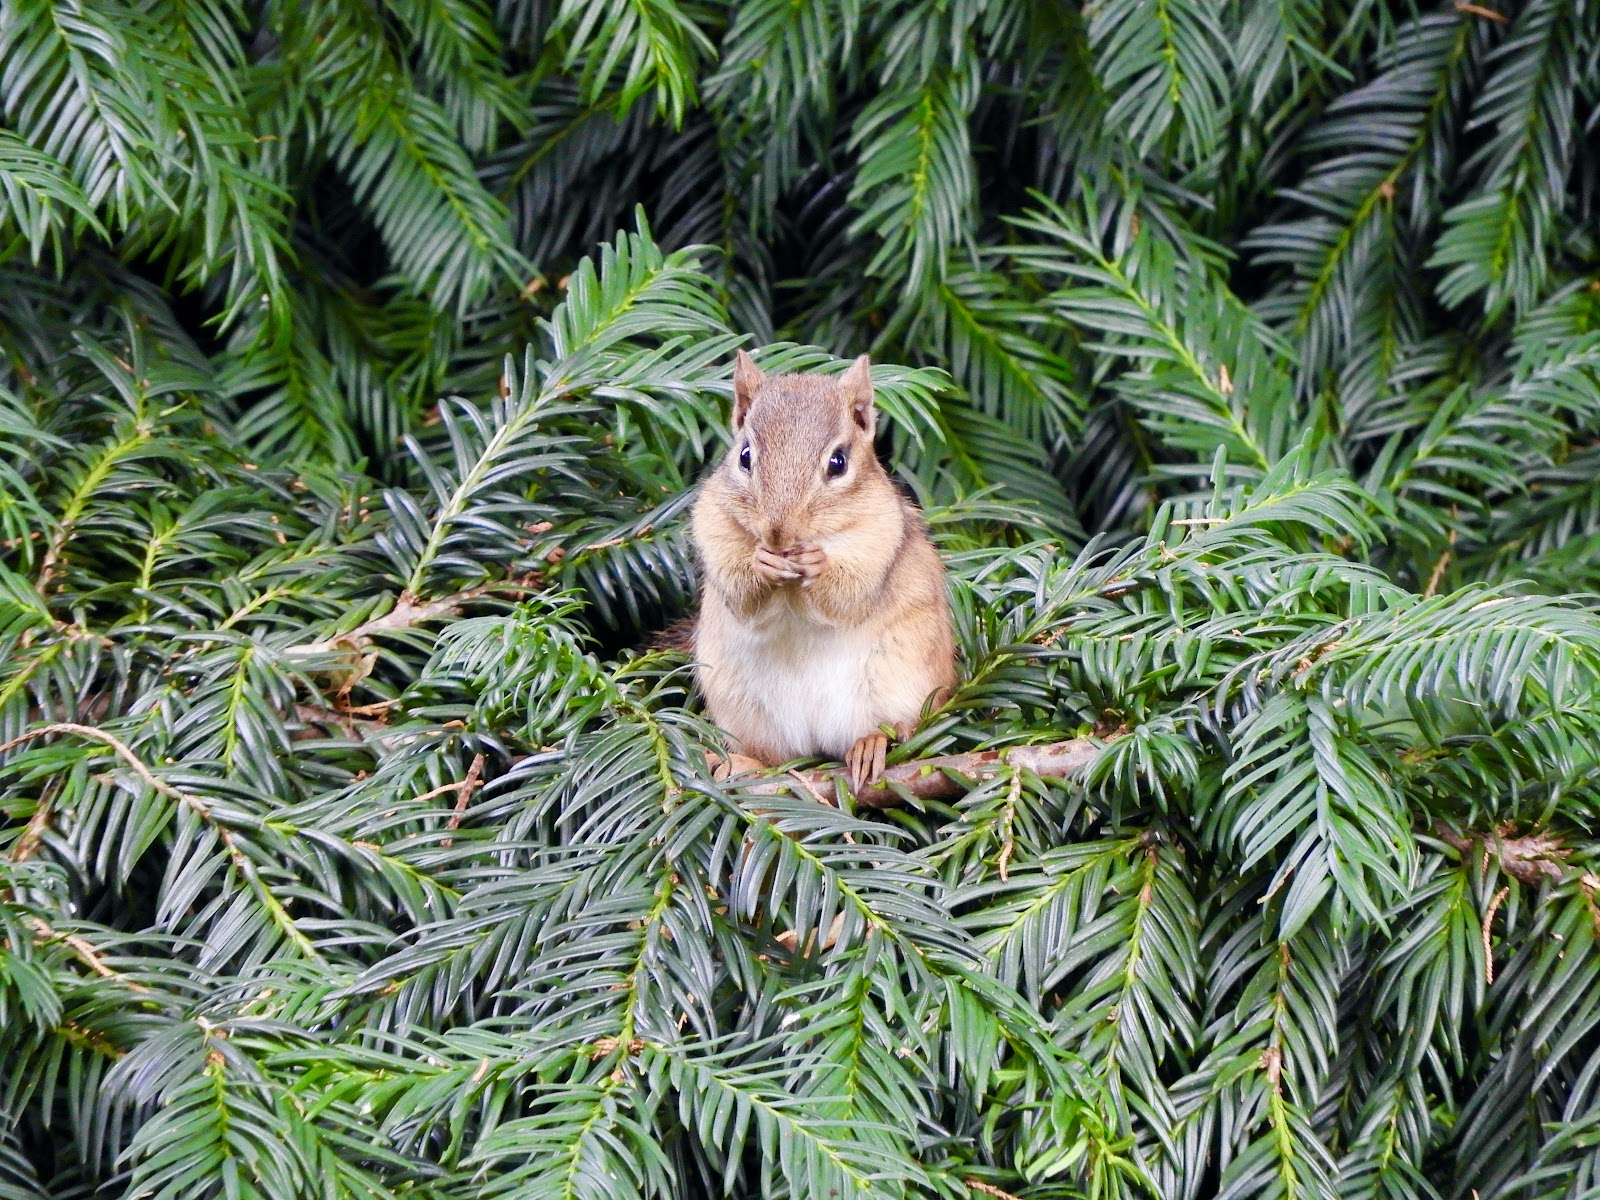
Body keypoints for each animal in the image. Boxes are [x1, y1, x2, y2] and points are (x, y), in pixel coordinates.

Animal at [689, 350, 956, 791]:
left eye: (838, 462)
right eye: (745, 456)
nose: (778, 534)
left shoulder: (878, 538)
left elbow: (846, 595)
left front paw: (817, 564)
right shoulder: (713, 527)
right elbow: (741, 594)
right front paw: (761, 563)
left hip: (904, 680)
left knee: (898, 728)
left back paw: (870, 744)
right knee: (772, 755)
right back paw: (737, 762)